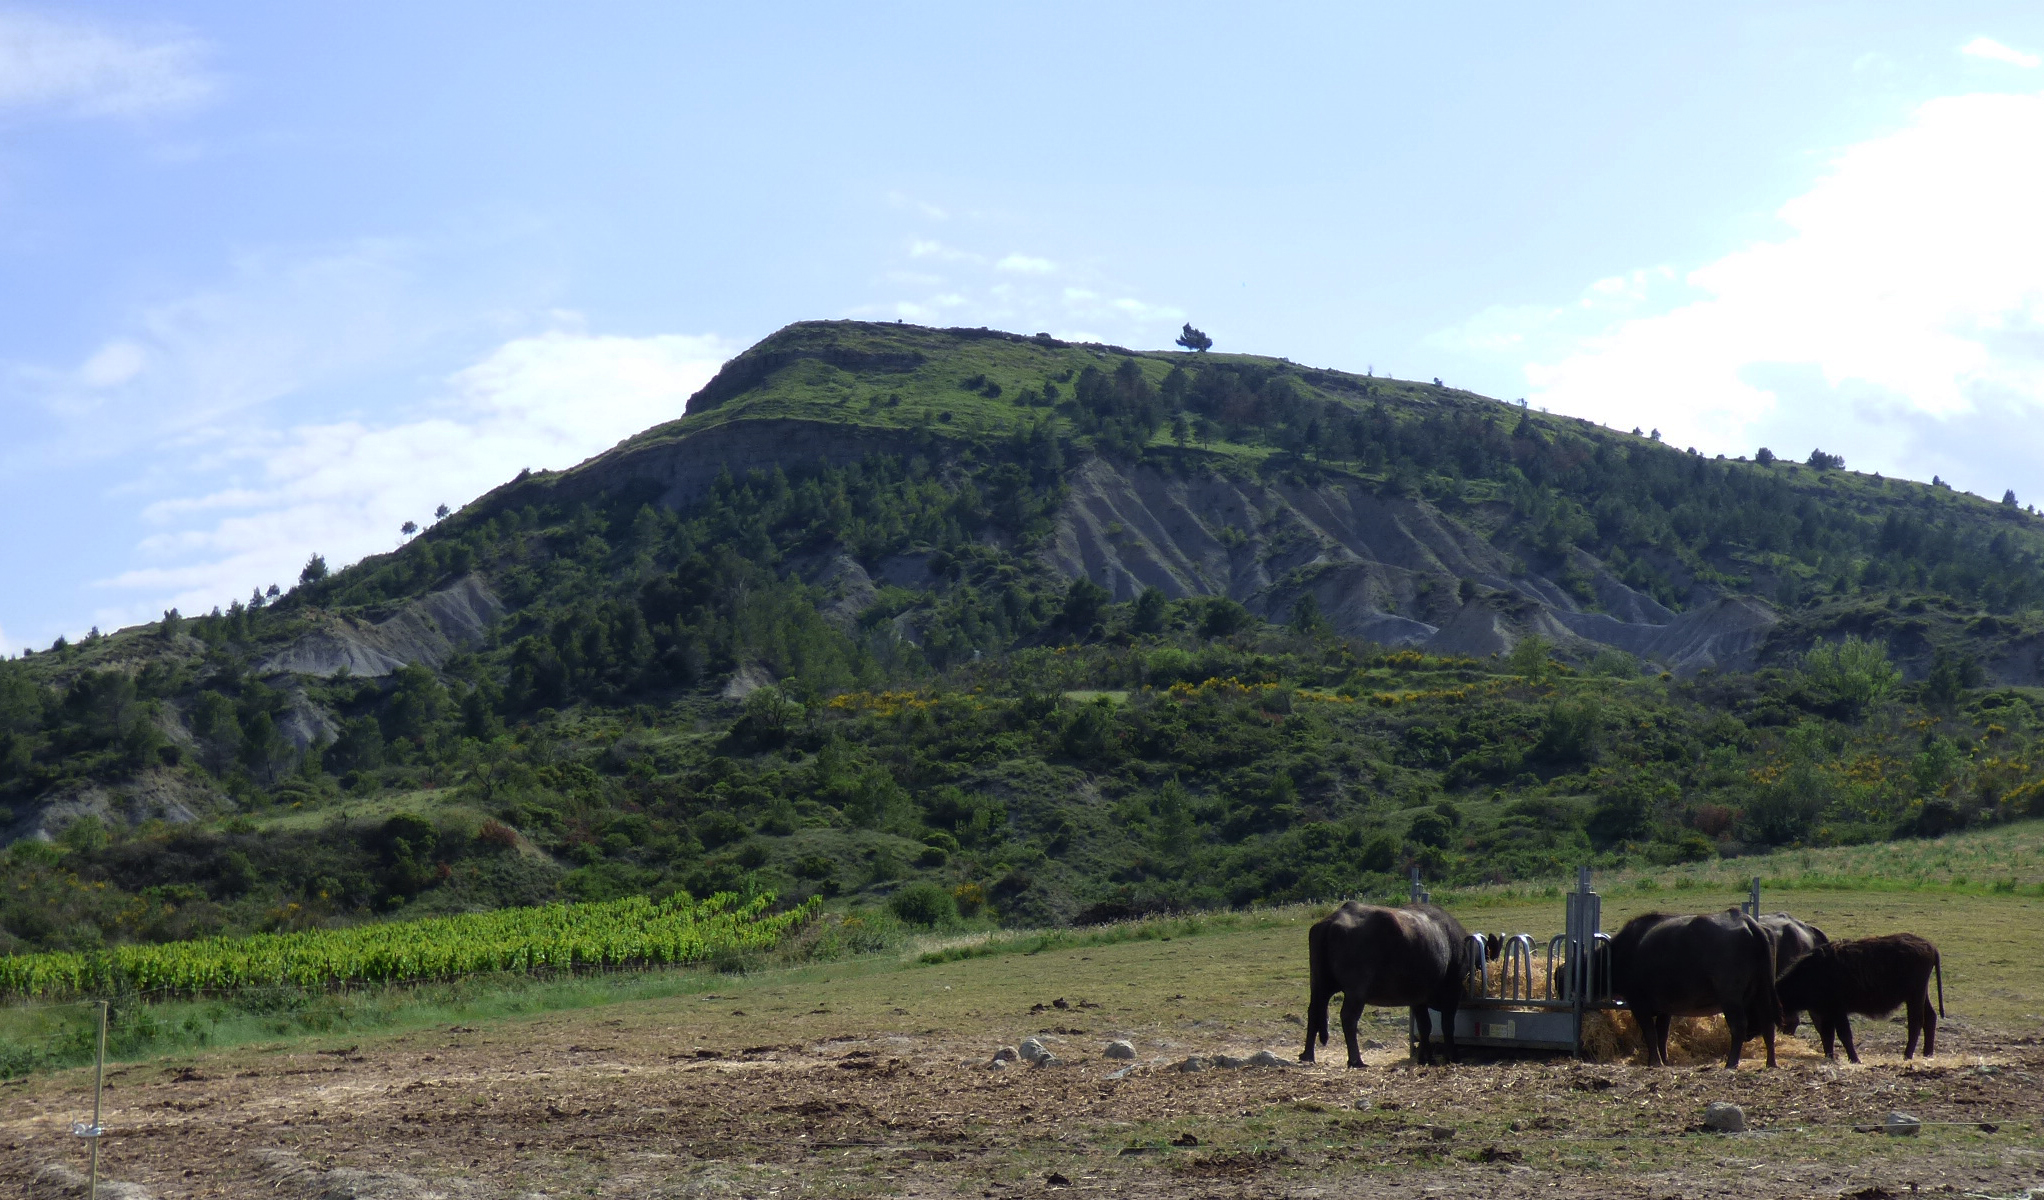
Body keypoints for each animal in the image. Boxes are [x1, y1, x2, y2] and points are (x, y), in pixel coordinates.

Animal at [1308, 899, 1471, 1071]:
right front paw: (1452, 1057)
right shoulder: (1451, 994)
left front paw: (1426, 1059)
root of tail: (1332, 921)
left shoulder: (1418, 999)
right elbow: (1447, 1026)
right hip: (1356, 992)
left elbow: (1425, 1027)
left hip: (1319, 984)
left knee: (1314, 1011)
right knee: (1348, 1017)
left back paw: (1307, 1056)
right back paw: (1356, 1060)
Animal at [1602, 911, 1782, 1071]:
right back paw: (1771, 1063)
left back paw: (1731, 1063)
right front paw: (1665, 1061)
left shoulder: (1638, 1004)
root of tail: (1745, 920)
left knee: (1739, 1026)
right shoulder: (1665, 1009)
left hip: (1731, 997)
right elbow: (1662, 1034)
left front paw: (1654, 1062)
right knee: (1768, 1024)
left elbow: (1650, 1033)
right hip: (1763, 992)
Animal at [1774, 928, 1945, 1063]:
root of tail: (1930, 947)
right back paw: (1927, 1054)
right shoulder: (1826, 1013)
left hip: (1915, 996)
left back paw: (1907, 1055)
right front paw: (1830, 1056)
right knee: (1930, 1016)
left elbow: (1844, 1034)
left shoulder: (1837, 1011)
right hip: (1922, 995)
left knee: (1916, 1022)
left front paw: (1854, 1059)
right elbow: (1827, 1035)